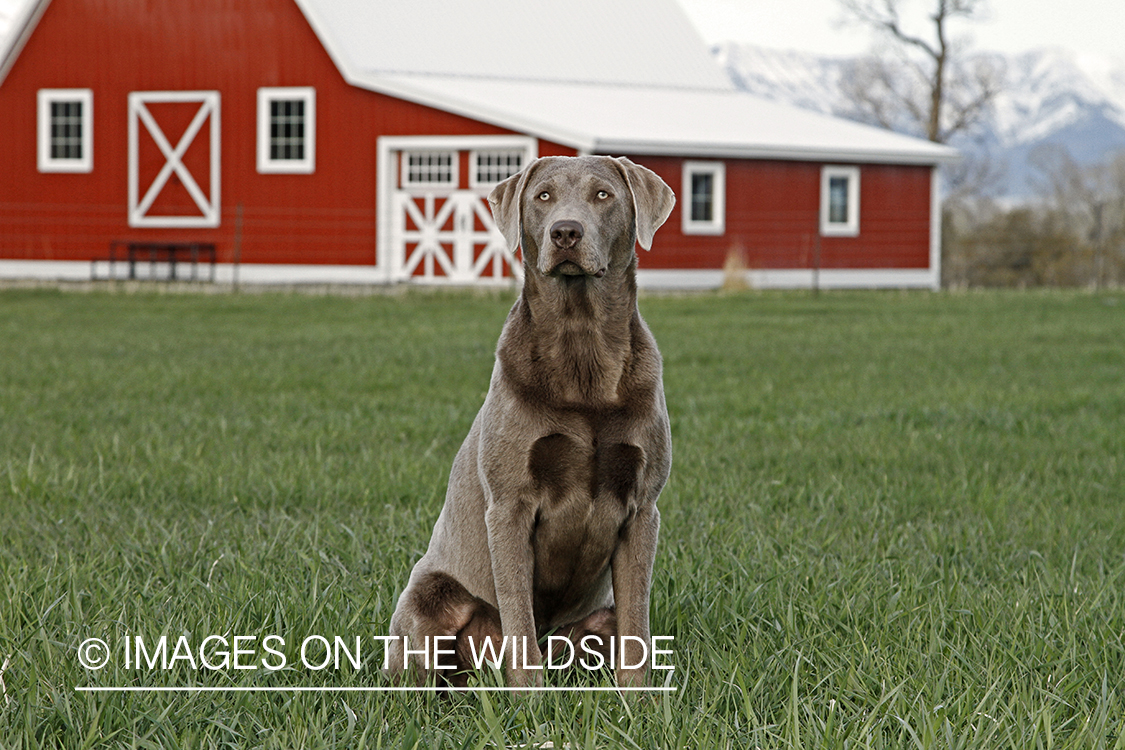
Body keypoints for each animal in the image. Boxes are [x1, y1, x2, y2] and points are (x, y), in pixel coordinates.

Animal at [382, 155, 670, 688]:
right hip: (428, 594)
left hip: (594, 618)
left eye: (603, 195)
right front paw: (530, 700)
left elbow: (637, 624)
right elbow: (518, 610)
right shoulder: (510, 504)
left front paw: (639, 701)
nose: (566, 232)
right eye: (543, 196)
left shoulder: (643, 506)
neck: (582, 351)